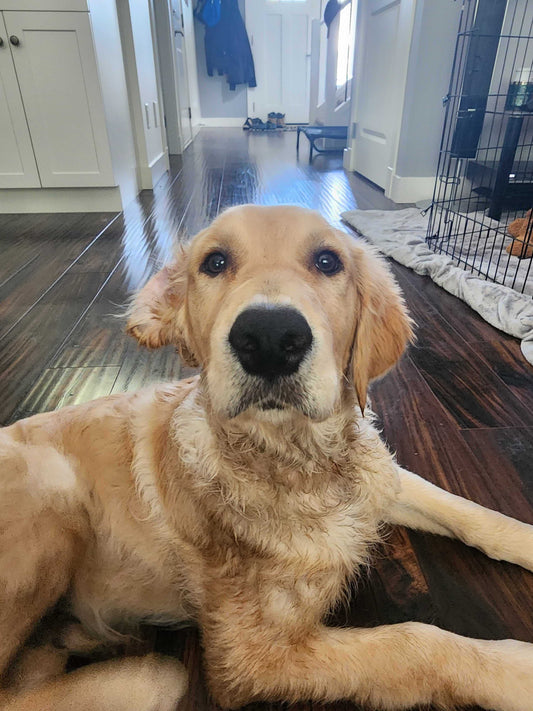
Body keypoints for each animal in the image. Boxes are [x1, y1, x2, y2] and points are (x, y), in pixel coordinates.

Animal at [1, 203, 532, 708]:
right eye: (214, 262)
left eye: (327, 261)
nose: (271, 338)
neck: (303, 461)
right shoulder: (250, 656)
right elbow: (413, 643)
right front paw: (516, 671)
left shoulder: (380, 478)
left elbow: (469, 511)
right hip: (53, 498)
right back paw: (135, 673)